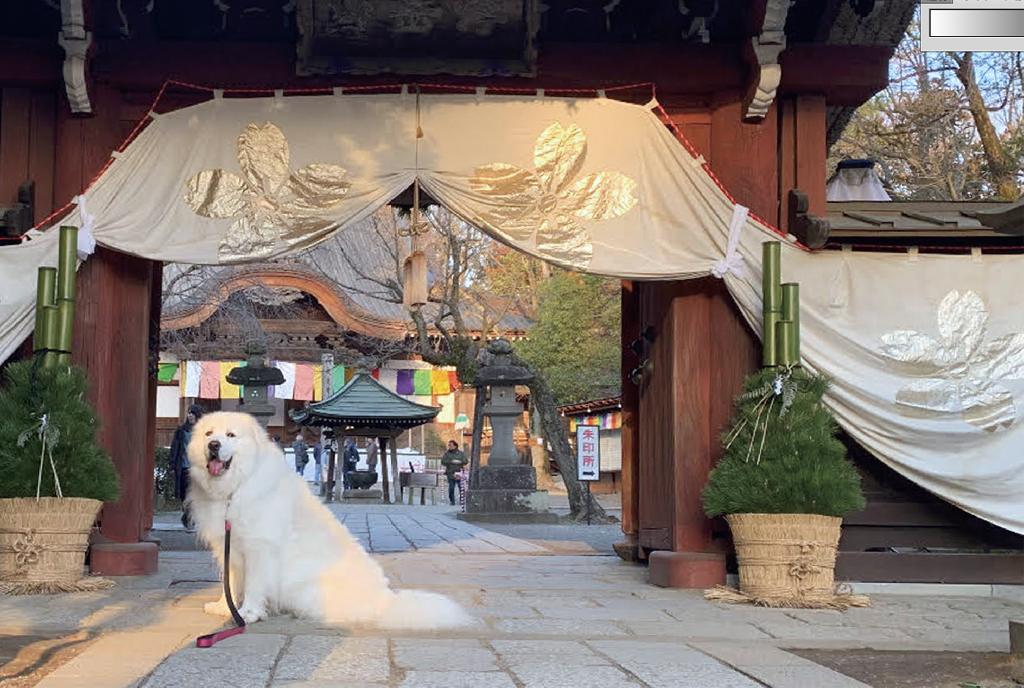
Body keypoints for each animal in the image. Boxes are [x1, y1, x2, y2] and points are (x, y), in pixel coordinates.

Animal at [186, 411, 470, 629]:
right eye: (209, 434)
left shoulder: (259, 548)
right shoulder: (228, 546)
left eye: (231, 435)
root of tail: (386, 601)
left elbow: (253, 585)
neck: (235, 488)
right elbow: (231, 583)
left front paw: (248, 614)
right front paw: (225, 608)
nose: (213, 446)